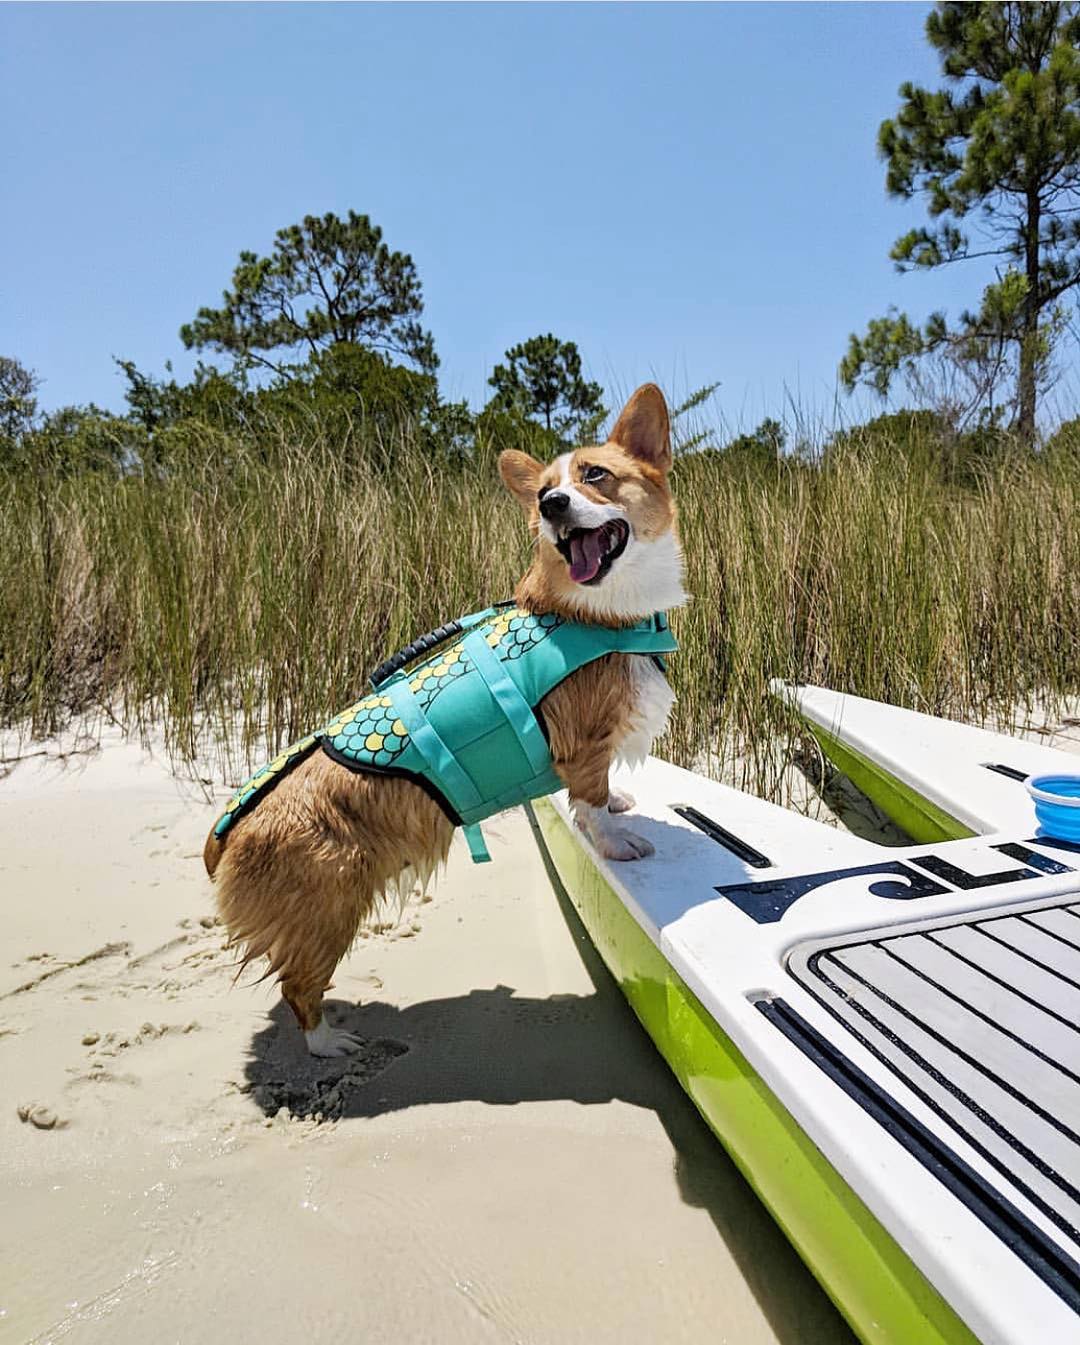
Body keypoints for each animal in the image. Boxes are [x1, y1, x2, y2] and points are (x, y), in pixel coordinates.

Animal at [207, 384, 688, 1054]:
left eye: (596, 475)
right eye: (545, 491)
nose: (552, 506)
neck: (601, 613)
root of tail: (226, 835)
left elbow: (601, 794)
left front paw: (620, 803)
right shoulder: (583, 746)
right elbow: (590, 804)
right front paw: (618, 843)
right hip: (329, 910)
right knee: (297, 987)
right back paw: (331, 1043)